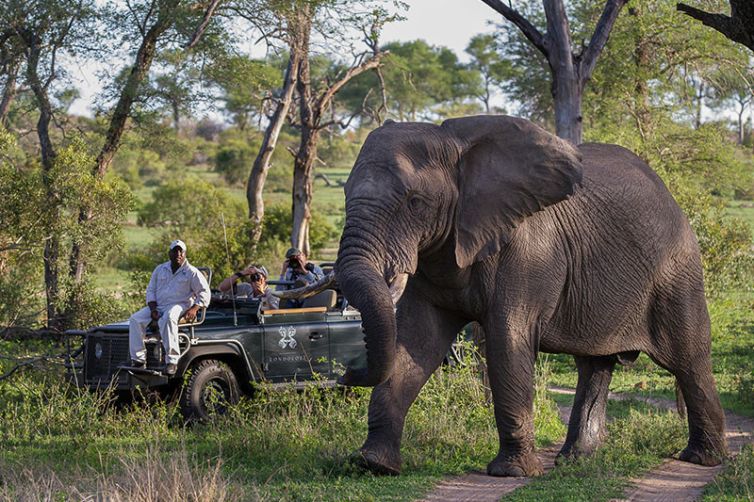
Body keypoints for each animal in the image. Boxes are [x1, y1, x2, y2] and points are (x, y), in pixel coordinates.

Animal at [328, 115, 727, 477]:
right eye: (344, 195)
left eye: (415, 202)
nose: (345, 374)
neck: (456, 144)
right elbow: (415, 344)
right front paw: (373, 464)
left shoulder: (527, 252)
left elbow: (507, 342)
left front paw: (512, 473)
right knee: (594, 366)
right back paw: (575, 461)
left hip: (676, 269)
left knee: (688, 359)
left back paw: (702, 459)